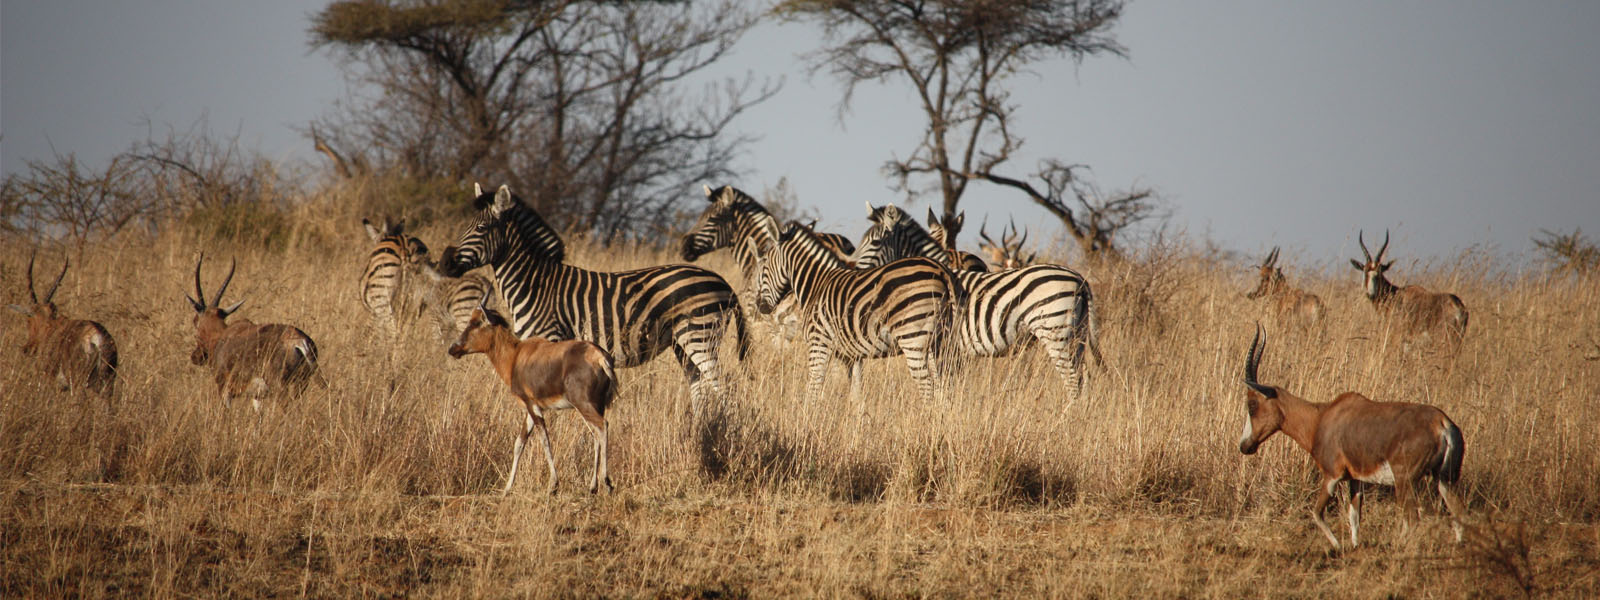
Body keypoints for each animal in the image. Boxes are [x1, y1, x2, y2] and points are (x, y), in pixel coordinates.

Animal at [439, 184, 748, 416]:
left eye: (481, 228)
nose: (444, 263)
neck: (535, 283)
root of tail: (723, 282)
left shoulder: (551, 339)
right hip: (683, 343)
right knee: (700, 389)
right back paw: (701, 432)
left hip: (699, 335)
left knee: (724, 387)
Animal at [752, 221, 960, 404]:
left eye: (764, 267)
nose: (760, 306)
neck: (816, 285)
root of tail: (941, 270)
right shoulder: (852, 355)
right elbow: (855, 395)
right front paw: (856, 421)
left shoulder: (819, 341)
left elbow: (814, 387)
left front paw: (807, 418)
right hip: (939, 341)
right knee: (943, 384)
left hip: (912, 337)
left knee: (926, 387)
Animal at [854, 203, 1102, 400]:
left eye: (875, 243)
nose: (853, 270)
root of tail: (1079, 278)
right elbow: (946, 387)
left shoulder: (937, 346)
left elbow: (940, 387)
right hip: (1076, 334)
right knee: (1085, 377)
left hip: (1054, 331)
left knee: (1072, 381)